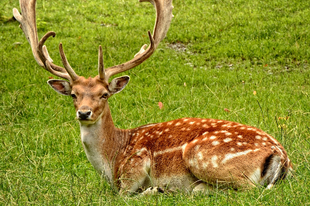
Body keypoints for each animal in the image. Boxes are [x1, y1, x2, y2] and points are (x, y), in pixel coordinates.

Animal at [12, 0, 294, 195]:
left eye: (104, 94)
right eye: (73, 94)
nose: (84, 112)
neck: (113, 158)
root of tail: (281, 155)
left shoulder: (134, 168)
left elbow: (125, 195)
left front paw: (154, 189)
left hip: (202, 155)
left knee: (247, 190)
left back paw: (188, 189)